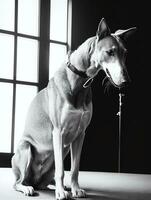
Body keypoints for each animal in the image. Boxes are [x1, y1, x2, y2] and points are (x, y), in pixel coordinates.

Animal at [11, 18, 136, 199]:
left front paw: (75, 189)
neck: (79, 81)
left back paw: (58, 186)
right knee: (18, 182)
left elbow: (75, 169)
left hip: (62, 152)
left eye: (125, 53)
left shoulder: (80, 134)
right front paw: (61, 192)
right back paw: (28, 187)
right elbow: (62, 170)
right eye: (110, 52)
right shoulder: (58, 132)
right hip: (26, 148)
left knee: (46, 180)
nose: (127, 81)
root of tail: (35, 181)